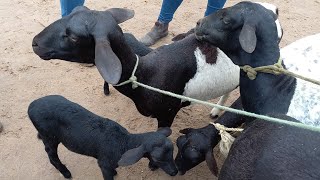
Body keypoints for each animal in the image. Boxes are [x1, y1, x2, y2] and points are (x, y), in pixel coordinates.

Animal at [27, 95, 178, 179]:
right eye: (157, 158)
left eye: (172, 151)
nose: (175, 172)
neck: (124, 142)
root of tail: (31, 106)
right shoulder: (104, 164)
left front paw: (115, 172)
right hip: (49, 135)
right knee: (51, 154)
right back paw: (66, 173)